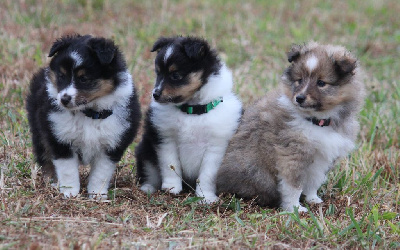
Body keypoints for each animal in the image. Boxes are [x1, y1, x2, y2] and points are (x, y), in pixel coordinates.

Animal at [25, 33, 141, 199]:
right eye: (61, 76)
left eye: (84, 79)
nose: (64, 99)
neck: (89, 113)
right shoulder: (60, 138)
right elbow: (67, 170)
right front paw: (70, 192)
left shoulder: (111, 145)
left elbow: (101, 173)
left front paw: (97, 195)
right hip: (39, 131)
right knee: (45, 157)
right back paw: (52, 182)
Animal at [134, 35, 242, 203]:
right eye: (158, 73)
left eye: (175, 75)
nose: (155, 94)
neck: (192, 111)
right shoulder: (166, 138)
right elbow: (170, 165)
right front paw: (171, 188)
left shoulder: (216, 146)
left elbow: (207, 174)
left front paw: (206, 197)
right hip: (145, 151)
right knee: (149, 171)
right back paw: (148, 188)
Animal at [217, 42, 364, 212]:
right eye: (299, 80)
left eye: (321, 83)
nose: (299, 98)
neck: (316, 121)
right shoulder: (292, 153)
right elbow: (293, 186)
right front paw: (295, 209)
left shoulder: (322, 157)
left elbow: (314, 181)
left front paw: (313, 199)